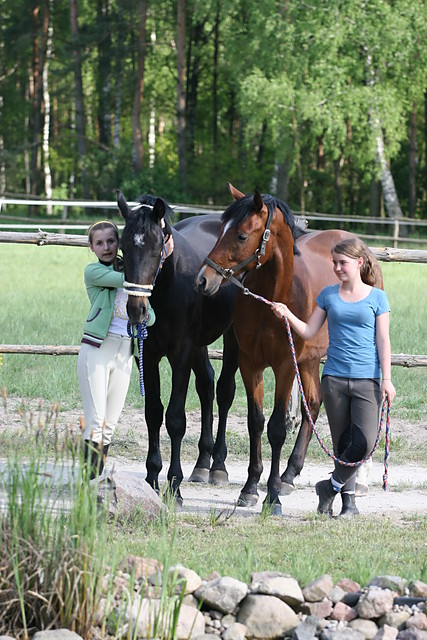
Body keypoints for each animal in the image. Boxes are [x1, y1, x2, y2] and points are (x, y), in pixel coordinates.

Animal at [118, 190, 239, 504]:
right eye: (123, 247)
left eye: (156, 248)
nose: (136, 310)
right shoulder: (148, 355)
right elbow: (153, 413)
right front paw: (152, 478)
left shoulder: (180, 354)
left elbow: (175, 418)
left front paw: (174, 484)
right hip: (200, 345)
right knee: (206, 385)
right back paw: (202, 463)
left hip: (232, 337)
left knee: (224, 391)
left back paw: (218, 465)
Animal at [196, 184, 382, 516]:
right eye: (220, 229)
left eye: (241, 235)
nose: (204, 279)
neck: (274, 299)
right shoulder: (250, 363)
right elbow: (256, 423)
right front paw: (250, 488)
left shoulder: (284, 366)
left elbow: (276, 428)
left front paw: (271, 497)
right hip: (308, 361)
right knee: (314, 403)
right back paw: (289, 474)